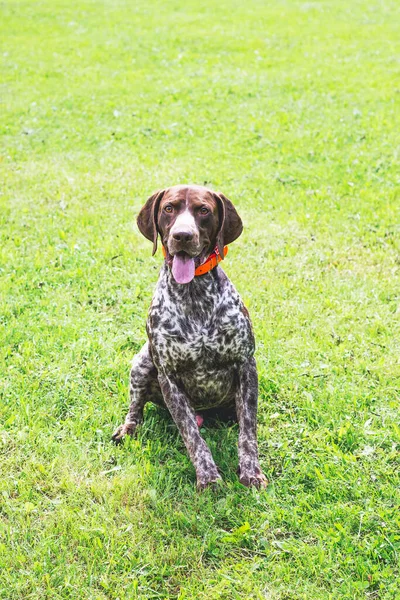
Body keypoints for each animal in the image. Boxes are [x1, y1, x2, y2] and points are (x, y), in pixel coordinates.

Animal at [112, 185, 268, 490]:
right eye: (169, 208)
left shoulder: (246, 365)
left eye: (203, 210)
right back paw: (128, 428)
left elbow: (248, 432)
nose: (182, 236)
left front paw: (251, 471)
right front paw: (207, 476)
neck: (194, 295)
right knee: (136, 407)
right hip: (142, 363)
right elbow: (192, 437)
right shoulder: (169, 377)